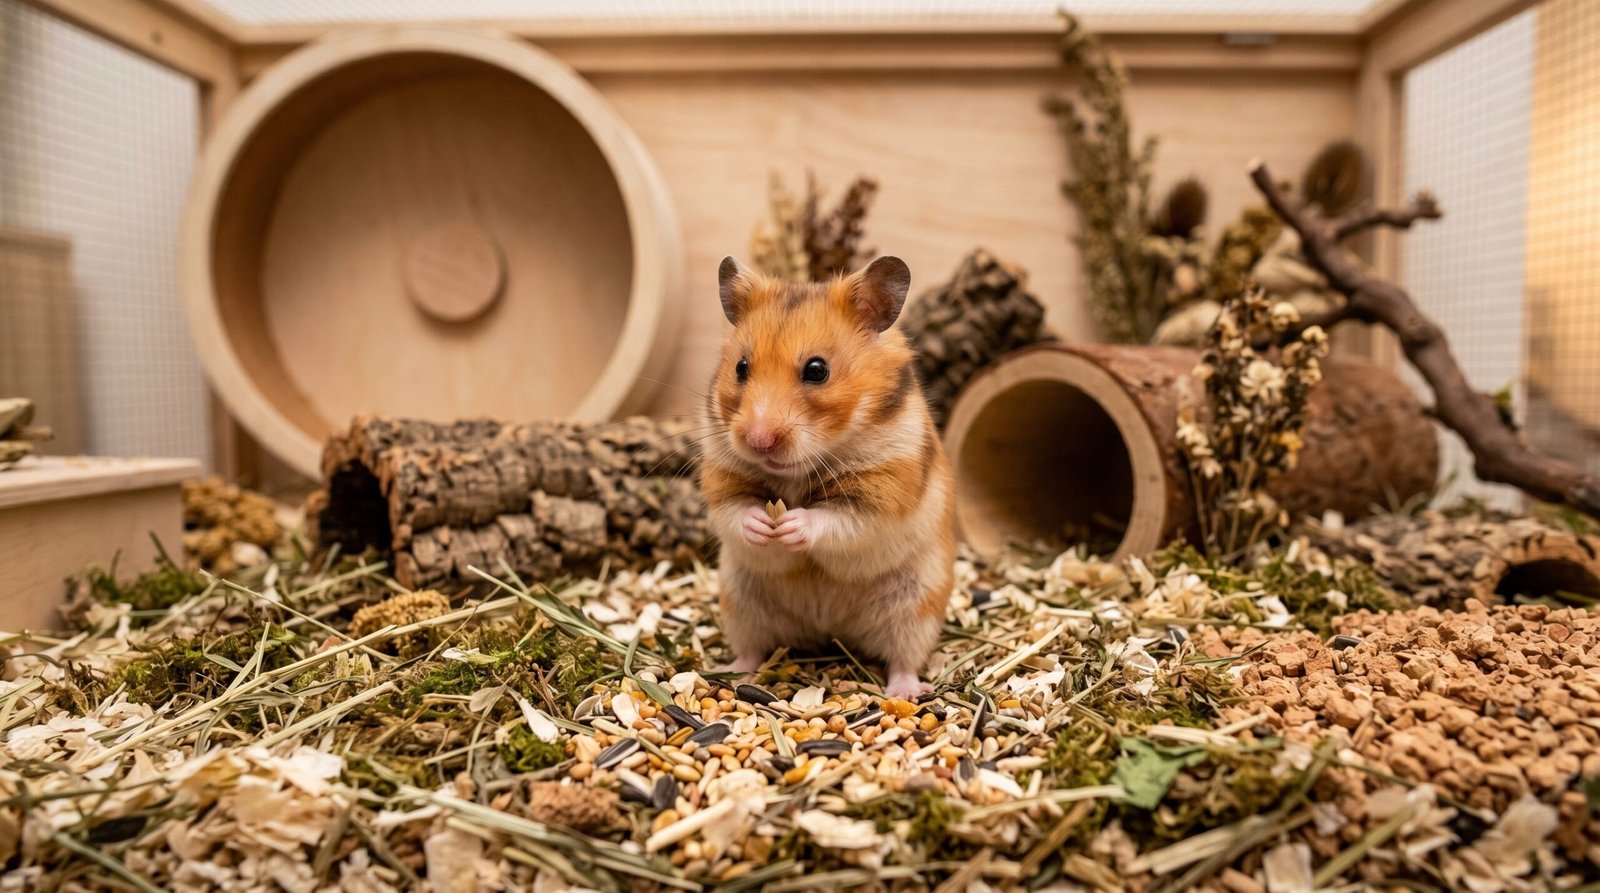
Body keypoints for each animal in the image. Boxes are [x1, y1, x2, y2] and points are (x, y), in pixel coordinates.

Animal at [698, 255, 956, 699]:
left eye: (817, 370)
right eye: (741, 367)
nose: (758, 439)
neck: (798, 471)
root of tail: (828, 629)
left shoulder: (881, 494)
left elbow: (835, 519)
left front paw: (791, 525)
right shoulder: (722, 480)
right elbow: (737, 513)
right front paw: (763, 525)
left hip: (915, 604)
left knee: (904, 657)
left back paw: (903, 692)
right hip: (740, 600)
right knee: (751, 647)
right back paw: (733, 672)